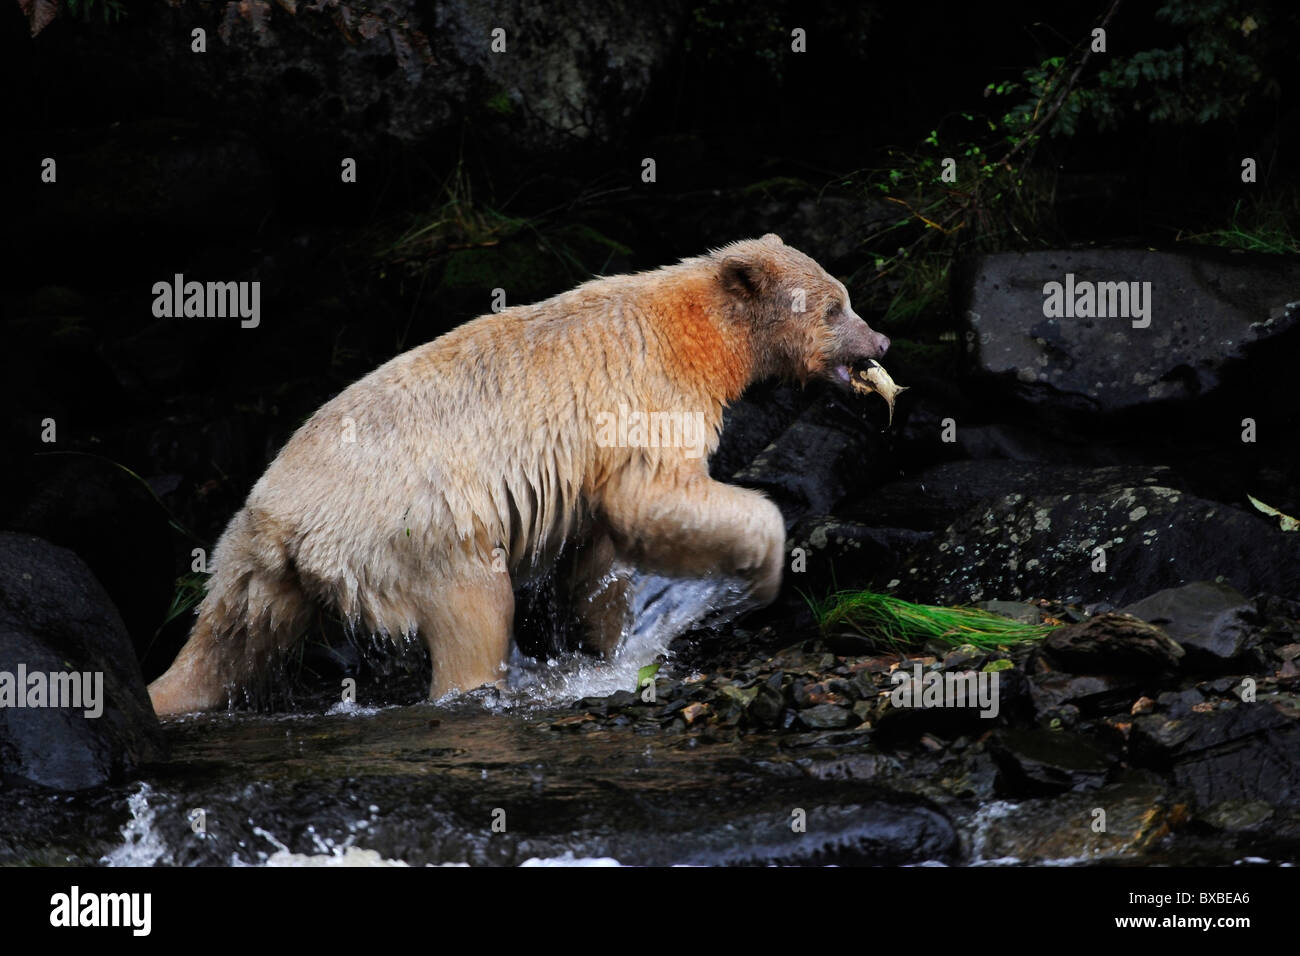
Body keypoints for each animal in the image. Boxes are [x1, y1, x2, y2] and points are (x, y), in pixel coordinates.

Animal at [147, 238, 889, 717]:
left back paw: (169, 693)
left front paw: (609, 637)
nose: (879, 344)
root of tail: (282, 519)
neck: (696, 335)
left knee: (228, 640)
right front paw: (757, 570)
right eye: (834, 307)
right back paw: (481, 689)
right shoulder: (642, 396)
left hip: (252, 567)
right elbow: (652, 497)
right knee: (475, 607)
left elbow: (601, 551)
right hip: (418, 532)